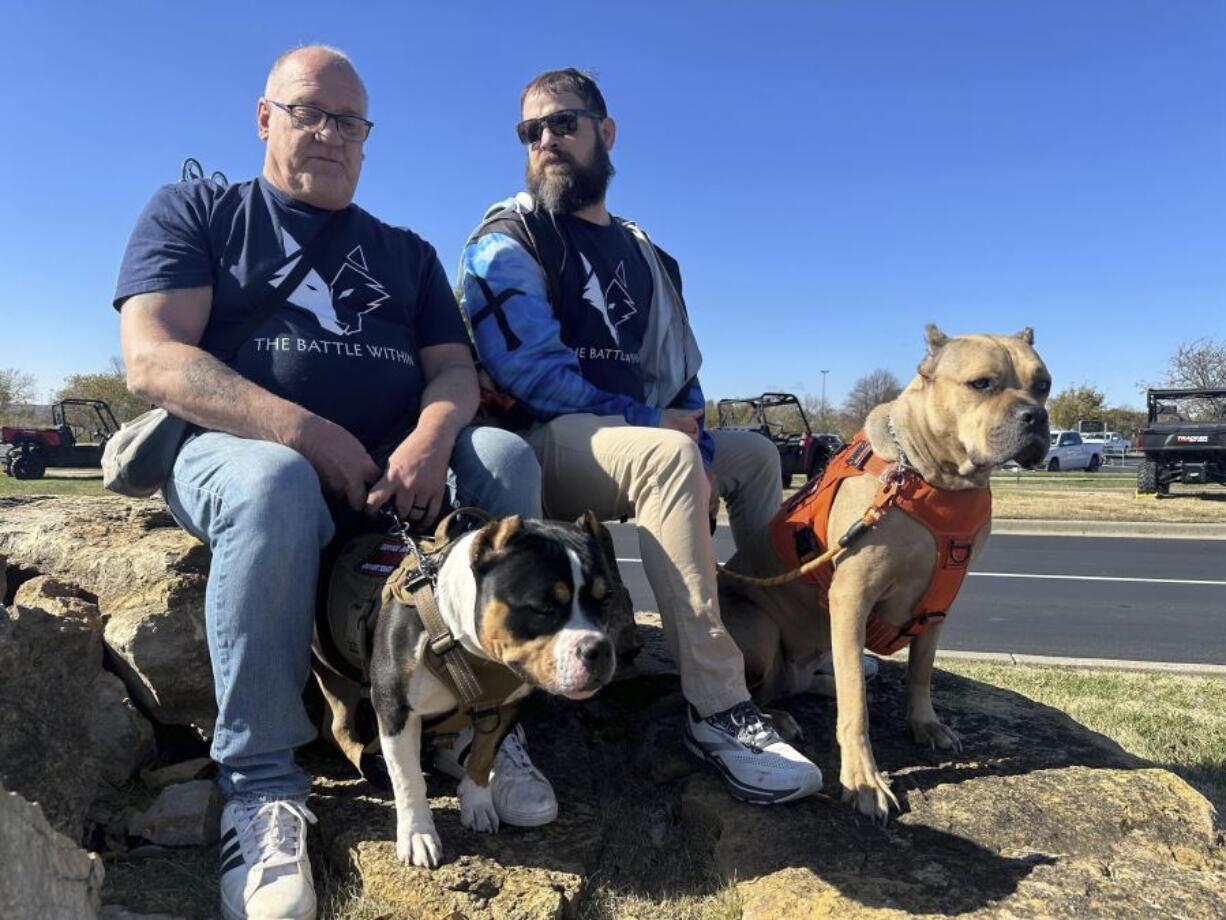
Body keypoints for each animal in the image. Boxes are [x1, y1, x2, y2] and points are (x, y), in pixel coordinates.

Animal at [370, 515, 622, 868]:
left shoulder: (504, 707)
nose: (598, 649)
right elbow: (409, 780)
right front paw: (417, 834)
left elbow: (482, 756)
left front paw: (476, 802)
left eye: (606, 599)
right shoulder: (395, 709)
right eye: (543, 607)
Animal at [715, 323, 1054, 819]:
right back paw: (776, 715)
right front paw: (863, 779)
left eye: (1043, 385)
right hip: (758, 630)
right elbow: (856, 705)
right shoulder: (851, 597)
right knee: (760, 688)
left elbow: (920, 670)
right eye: (982, 384)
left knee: (811, 679)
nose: (1035, 416)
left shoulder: (938, 606)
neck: (934, 479)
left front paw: (925, 723)